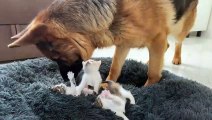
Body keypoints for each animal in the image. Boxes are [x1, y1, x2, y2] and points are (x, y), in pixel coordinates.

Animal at [7, 0, 198, 86]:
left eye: (57, 57)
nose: (66, 80)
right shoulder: (124, 43)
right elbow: (115, 68)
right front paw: (107, 83)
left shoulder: (157, 37)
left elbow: (152, 74)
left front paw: (149, 89)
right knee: (166, 47)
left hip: (180, 27)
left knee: (177, 42)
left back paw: (176, 58)